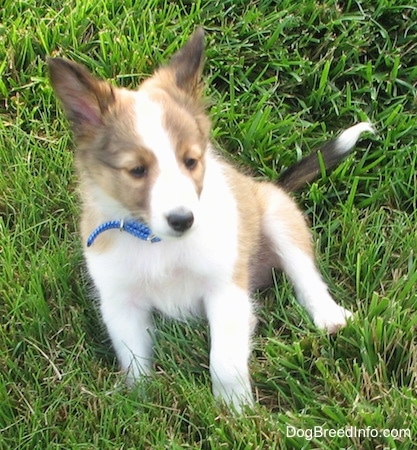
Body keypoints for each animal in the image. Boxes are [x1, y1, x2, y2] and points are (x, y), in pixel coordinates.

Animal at [49, 26, 374, 410]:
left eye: (191, 161)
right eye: (137, 170)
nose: (183, 220)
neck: (158, 244)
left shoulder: (225, 287)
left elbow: (225, 360)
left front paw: (235, 410)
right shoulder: (120, 302)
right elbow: (134, 360)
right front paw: (140, 401)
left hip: (277, 215)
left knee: (306, 277)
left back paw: (330, 317)